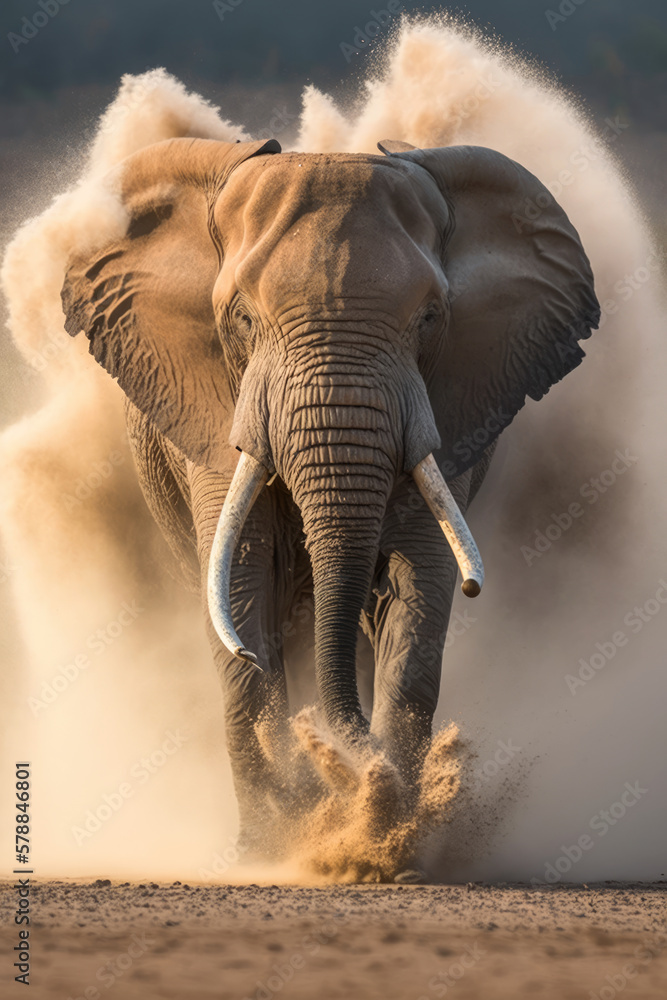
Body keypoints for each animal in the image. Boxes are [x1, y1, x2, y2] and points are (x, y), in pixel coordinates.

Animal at [61, 134, 599, 873]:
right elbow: (243, 581)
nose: (349, 759)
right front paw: (271, 851)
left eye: (430, 318)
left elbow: (417, 585)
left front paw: (387, 842)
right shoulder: (212, 406)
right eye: (241, 318)